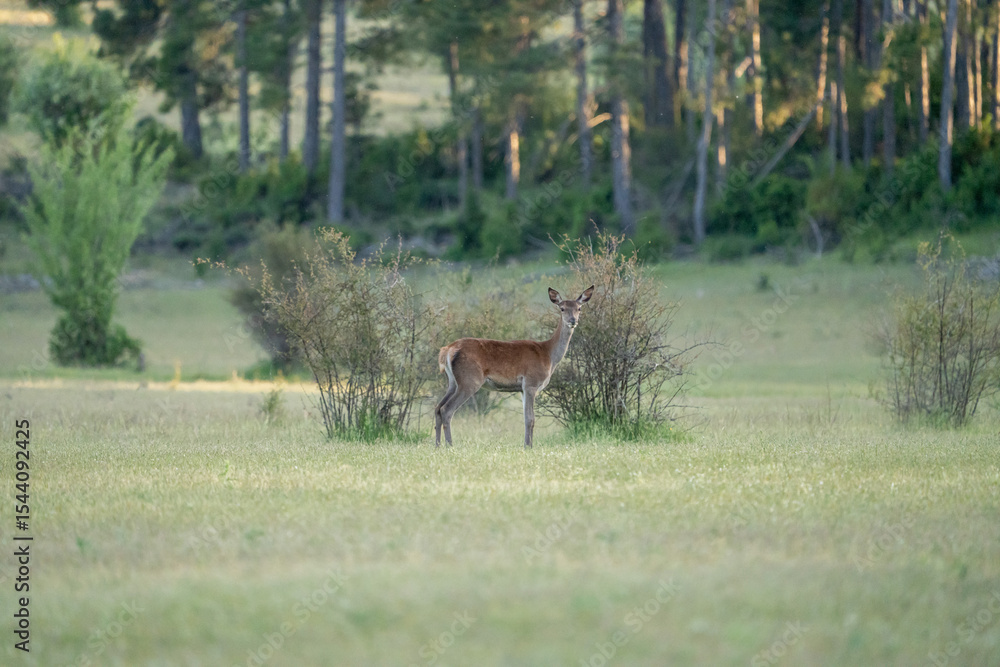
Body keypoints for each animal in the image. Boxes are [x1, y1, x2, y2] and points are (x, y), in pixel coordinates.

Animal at [435, 285, 595, 449]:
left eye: (579, 308)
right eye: (562, 308)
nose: (573, 320)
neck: (548, 355)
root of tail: (447, 350)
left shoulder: (522, 389)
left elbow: (525, 419)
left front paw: (526, 445)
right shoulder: (531, 383)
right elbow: (530, 419)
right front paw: (528, 447)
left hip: (453, 381)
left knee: (437, 408)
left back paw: (438, 445)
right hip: (470, 380)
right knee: (446, 409)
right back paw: (450, 445)